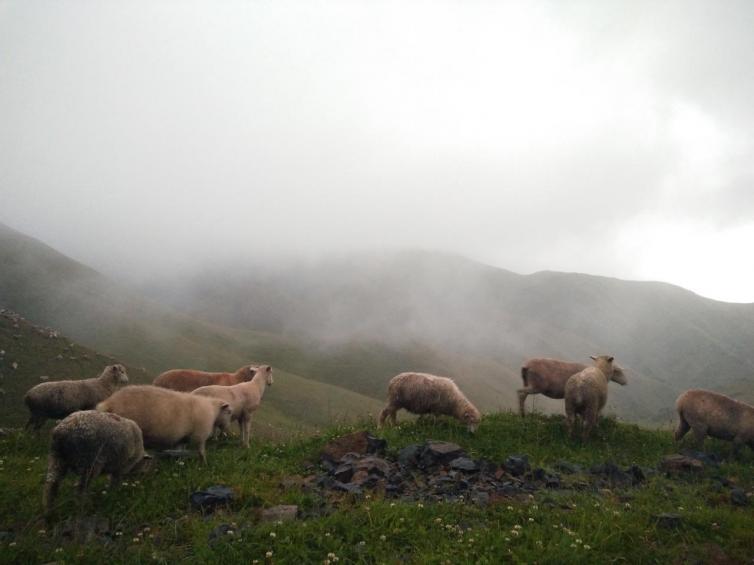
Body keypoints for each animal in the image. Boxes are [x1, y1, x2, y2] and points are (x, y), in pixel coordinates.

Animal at [97, 384, 232, 462]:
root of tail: (109, 403)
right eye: (229, 412)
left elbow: (180, 450)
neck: (213, 411)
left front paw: (179, 462)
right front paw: (203, 463)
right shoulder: (200, 435)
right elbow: (201, 451)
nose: (227, 429)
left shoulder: (182, 438)